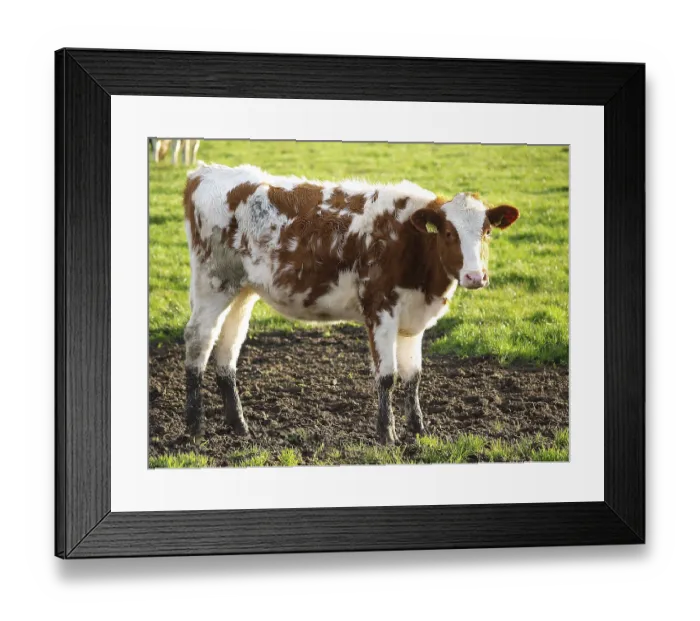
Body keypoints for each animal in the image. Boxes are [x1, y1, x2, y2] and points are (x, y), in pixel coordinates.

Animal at [182, 164, 519, 445]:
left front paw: (419, 429)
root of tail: (205, 172)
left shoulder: (413, 319)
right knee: (198, 340)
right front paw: (387, 434)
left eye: (487, 232)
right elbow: (387, 376)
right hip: (213, 285)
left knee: (227, 350)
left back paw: (239, 426)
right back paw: (194, 426)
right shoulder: (380, 310)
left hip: (242, 292)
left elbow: (413, 376)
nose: (475, 276)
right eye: (449, 233)